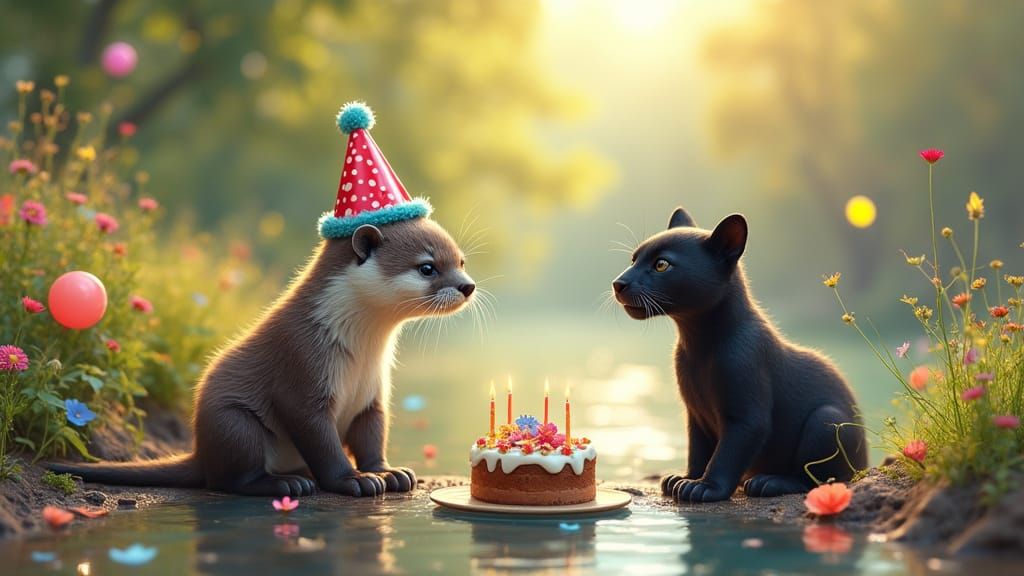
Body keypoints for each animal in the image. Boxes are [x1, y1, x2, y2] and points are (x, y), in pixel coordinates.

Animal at [49, 217, 475, 497]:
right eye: (427, 267)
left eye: (461, 261)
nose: (467, 286)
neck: (361, 351)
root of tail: (201, 449)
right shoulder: (301, 372)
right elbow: (322, 441)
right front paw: (354, 480)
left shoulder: (373, 394)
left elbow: (372, 436)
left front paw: (390, 473)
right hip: (235, 424)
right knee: (228, 480)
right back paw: (287, 483)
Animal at [612, 206, 867, 502]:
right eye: (633, 259)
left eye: (661, 265)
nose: (618, 283)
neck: (698, 344)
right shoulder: (695, 415)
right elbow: (698, 452)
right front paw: (685, 478)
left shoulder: (746, 418)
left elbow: (725, 456)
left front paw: (704, 487)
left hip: (826, 419)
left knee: (818, 479)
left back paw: (769, 482)